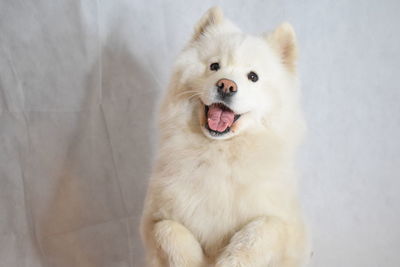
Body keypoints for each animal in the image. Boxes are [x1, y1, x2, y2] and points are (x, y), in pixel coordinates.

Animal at [140, 6, 310, 267]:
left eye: (253, 76)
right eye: (214, 66)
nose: (226, 85)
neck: (219, 151)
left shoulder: (284, 224)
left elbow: (265, 228)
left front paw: (230, 260)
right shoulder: (153, 218)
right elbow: (167, 229)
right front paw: (190, 260)